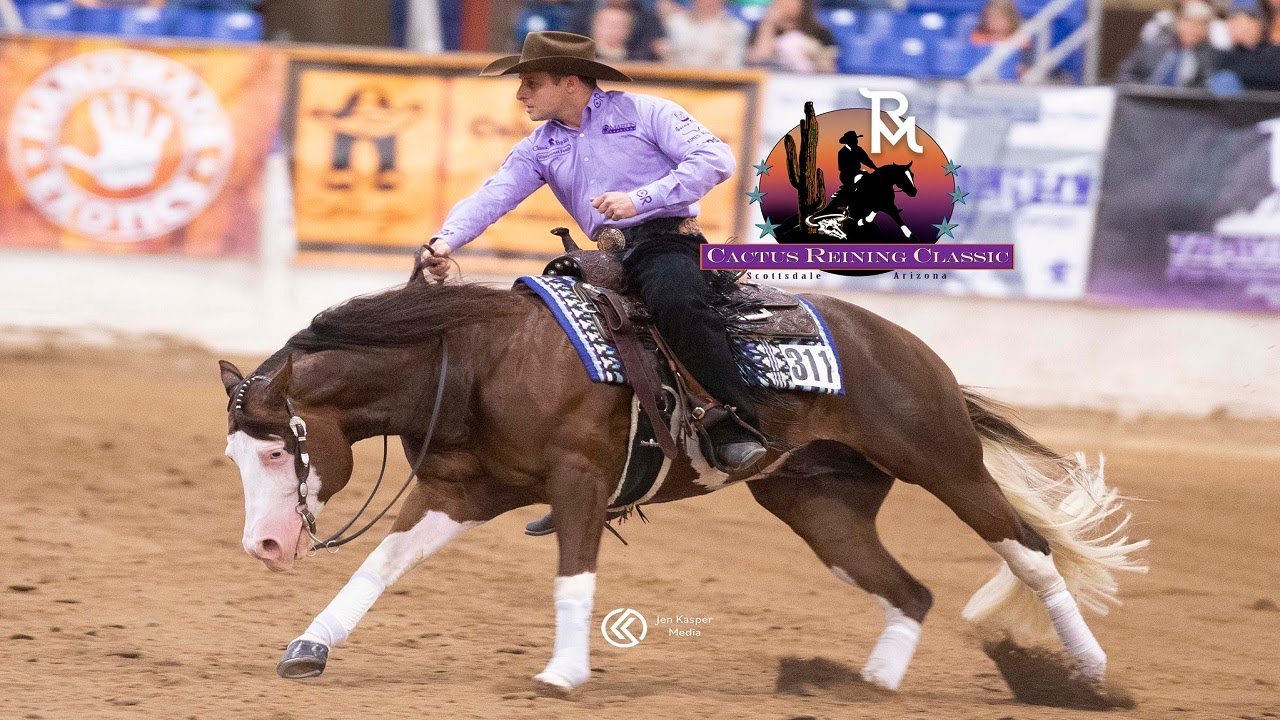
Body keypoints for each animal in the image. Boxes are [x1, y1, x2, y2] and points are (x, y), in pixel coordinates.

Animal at [215, 275, 1146, 696]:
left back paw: (1093, 674)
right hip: (820, 504)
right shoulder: (461, 490)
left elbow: (575, 576)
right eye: (236, 457)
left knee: (1029, 551)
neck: (479, 359)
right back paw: (873, 685)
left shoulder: (581, 482)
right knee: (909, 591)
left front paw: (564, 671)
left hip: (943, 461)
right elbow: (382, 565)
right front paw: (310, 645)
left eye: (278, 453)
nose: (261, 545)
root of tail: (907, 346)